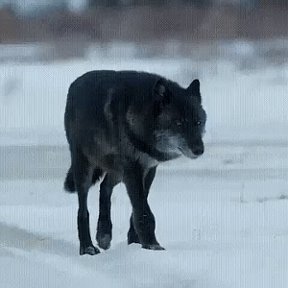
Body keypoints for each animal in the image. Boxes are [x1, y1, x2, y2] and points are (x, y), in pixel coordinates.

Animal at [64, 71, 206, 255]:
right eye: (179, 123)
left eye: (198, 122)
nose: (199, 150)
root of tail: (74, 84)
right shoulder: (133, 169)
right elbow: (143, 211)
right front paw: (152, 245)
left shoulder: (148, 169)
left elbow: (137, 209)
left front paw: (135, 242)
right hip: (85, 169)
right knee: (83, 210)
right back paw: (87, 247)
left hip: (117, 171)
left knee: (104, 187)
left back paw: (104, 234)